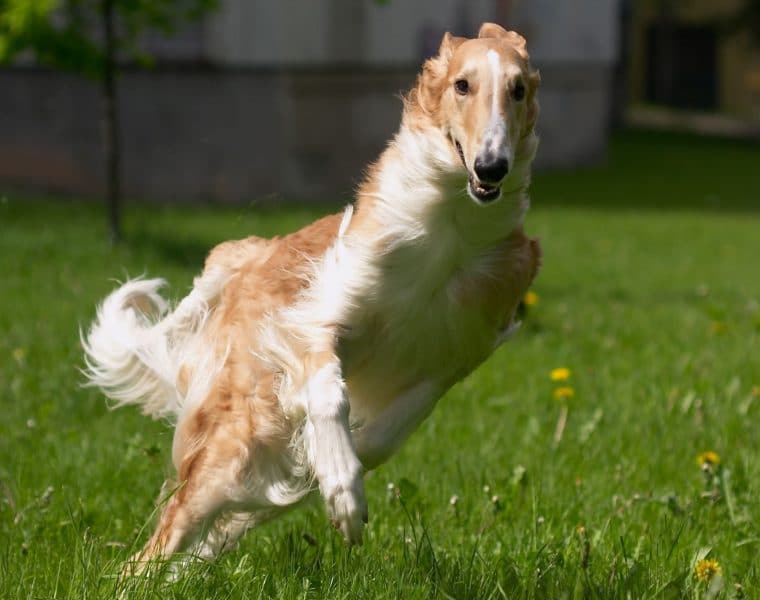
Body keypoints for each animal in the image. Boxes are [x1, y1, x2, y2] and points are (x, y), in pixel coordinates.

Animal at [83, 21, 544, 568]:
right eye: (462, 85)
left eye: (518, 89)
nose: (492, 167)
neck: (450, 227)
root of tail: (251, 255)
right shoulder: (317, 319)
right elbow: (328, 394)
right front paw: (344, 490)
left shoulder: (449, 361)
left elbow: (377, 440)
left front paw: (334, 474)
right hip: (236, 433)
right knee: (156, 545)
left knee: (224, 521)